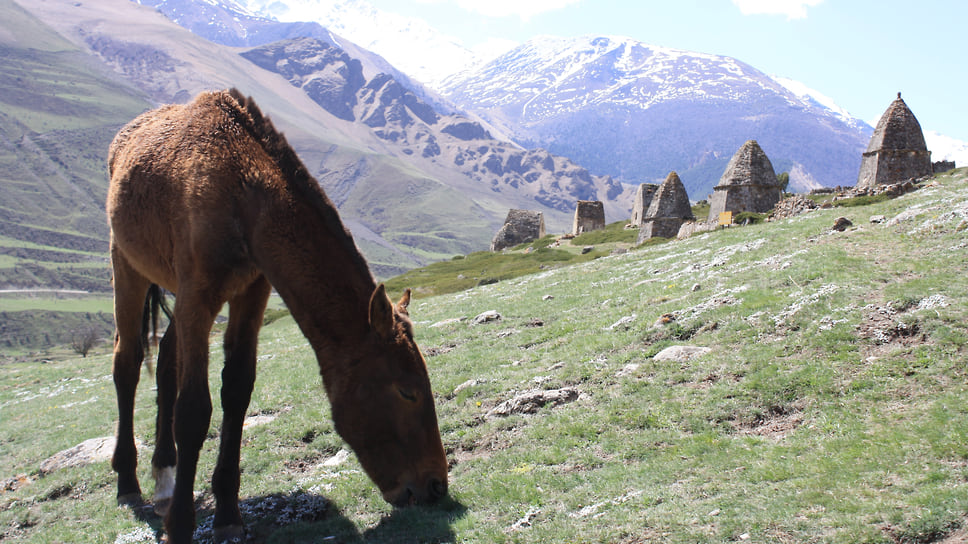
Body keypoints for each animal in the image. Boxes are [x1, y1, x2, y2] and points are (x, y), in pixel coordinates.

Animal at [108, 90, 448, 544]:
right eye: (407, 391)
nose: (436, 486)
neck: (242, 190)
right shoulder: (198, 298)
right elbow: (194, 409)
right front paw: (179, 525)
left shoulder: (250, 294)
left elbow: (236, 392)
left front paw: (228, 514)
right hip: (127, 267)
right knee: (127, 364)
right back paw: (128, 481)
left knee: (164, 362)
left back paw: (164, 475)